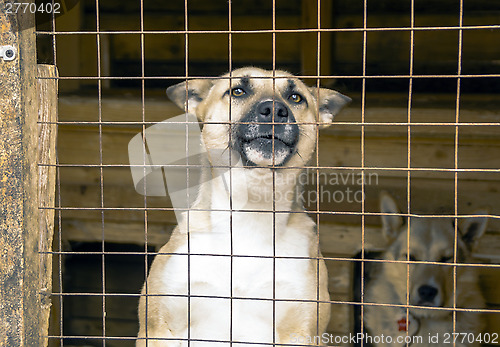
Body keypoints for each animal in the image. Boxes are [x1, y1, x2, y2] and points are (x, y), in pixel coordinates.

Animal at [135, 66, 350, 346]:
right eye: (237, 91)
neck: (250, 207)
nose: (274, 110)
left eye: (295, 97)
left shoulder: (301, 331)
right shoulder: (158, 329)